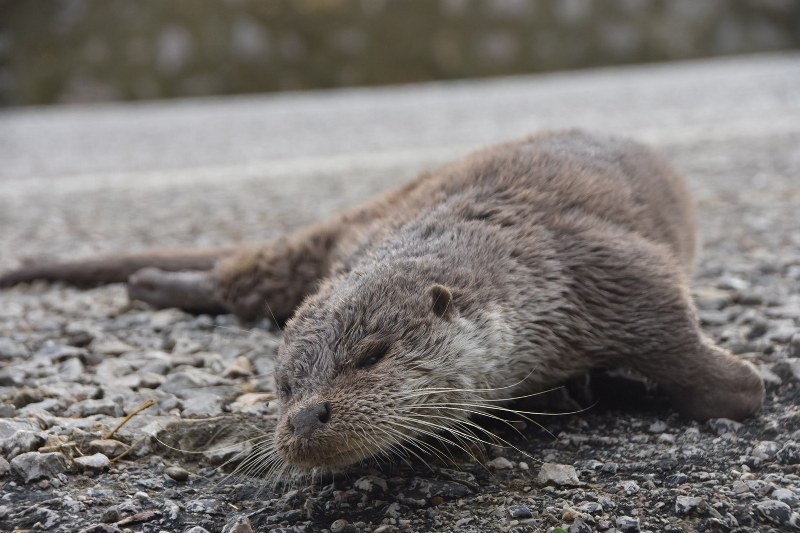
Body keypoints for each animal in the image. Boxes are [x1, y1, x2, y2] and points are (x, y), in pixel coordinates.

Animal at [0, 131, 764, 468]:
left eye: (372, 356)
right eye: (283, 386)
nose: (305, 418)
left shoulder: (599, 269)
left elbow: (672, 330)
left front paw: (742, 386)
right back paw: (152, 283)